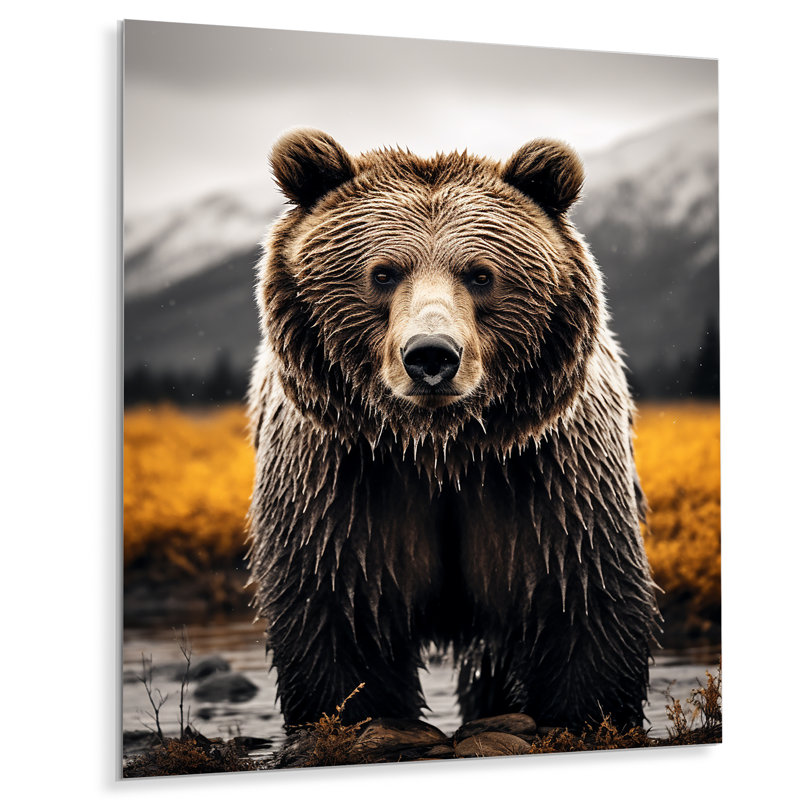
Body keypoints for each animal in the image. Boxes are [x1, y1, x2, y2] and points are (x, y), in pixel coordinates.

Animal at [247, 129, 660, 732]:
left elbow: (581, 598)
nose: (431, 356)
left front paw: (589, 714)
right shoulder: (341, 481)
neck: (441, 447)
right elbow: (337, 613)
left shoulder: (547, 478)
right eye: (383, 272)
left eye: (481, 274)